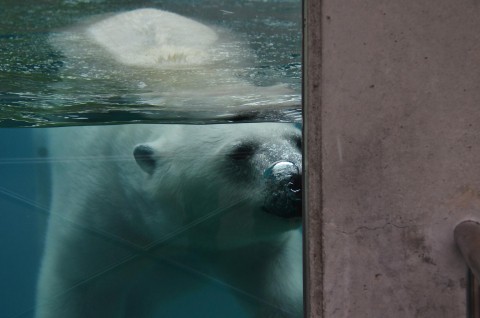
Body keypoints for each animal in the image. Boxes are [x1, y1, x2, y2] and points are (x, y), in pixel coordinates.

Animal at [35, 123, 302, 316]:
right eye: (240, 151)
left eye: (298, 140)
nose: (295, 178)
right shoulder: (104, 211)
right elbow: (82, 285)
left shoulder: (246, 245)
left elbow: (282, 292)